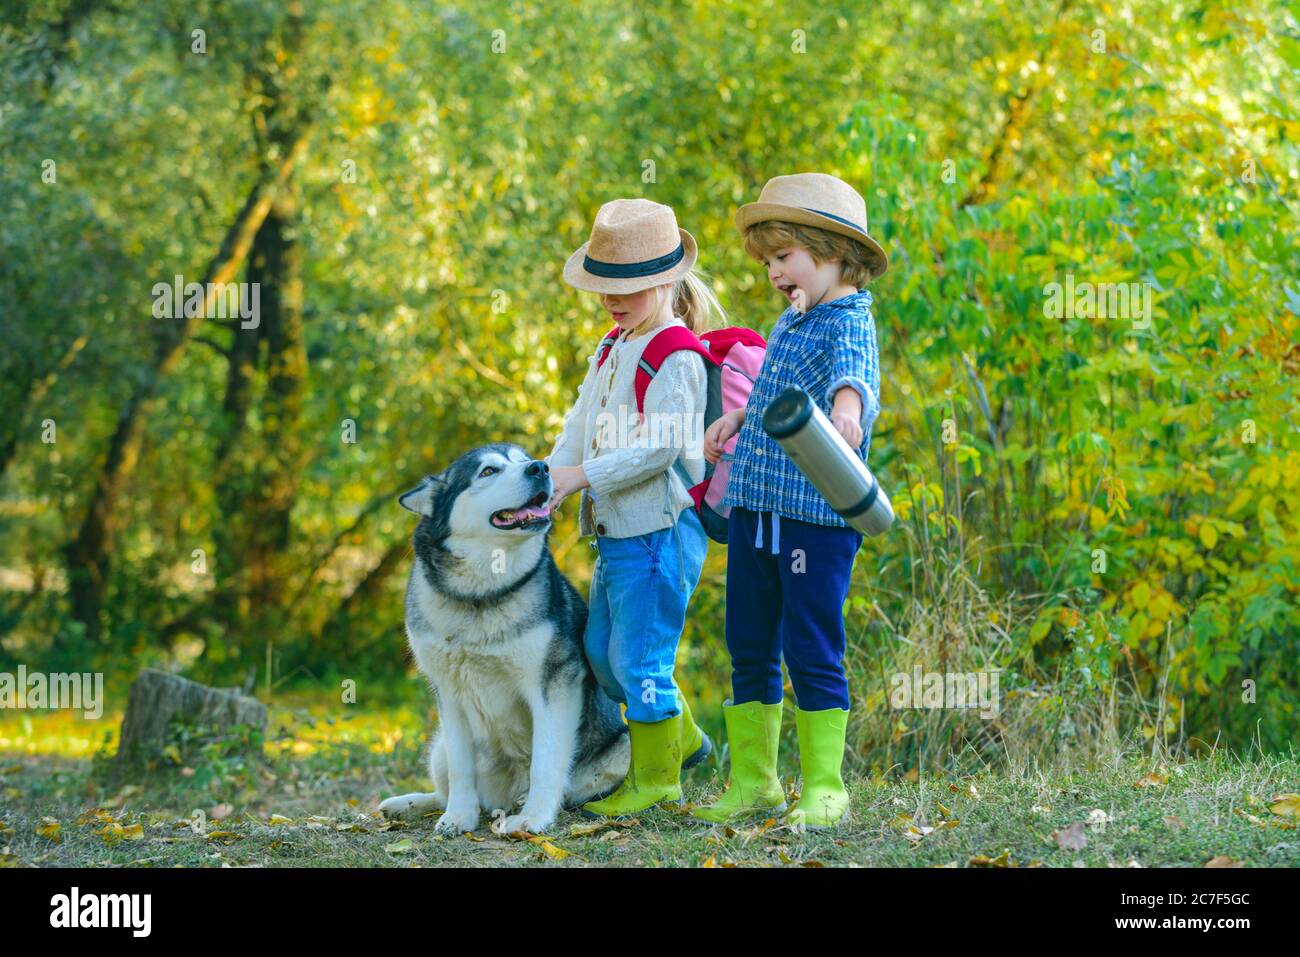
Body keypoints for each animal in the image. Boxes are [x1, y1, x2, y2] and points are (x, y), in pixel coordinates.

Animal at [379, 444, 629, 832]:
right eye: (488, 471)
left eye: (524, 459)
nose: (540, 468)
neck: (480, 595)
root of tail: (503, 797)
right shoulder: (447, 691)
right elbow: (461, 768)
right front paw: (459, 817)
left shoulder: (554, 683)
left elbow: (545, 761)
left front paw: (534, 818)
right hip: (438, 747)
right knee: (447, 786)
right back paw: (410, 804)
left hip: (622, 748)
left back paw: (527, 803)